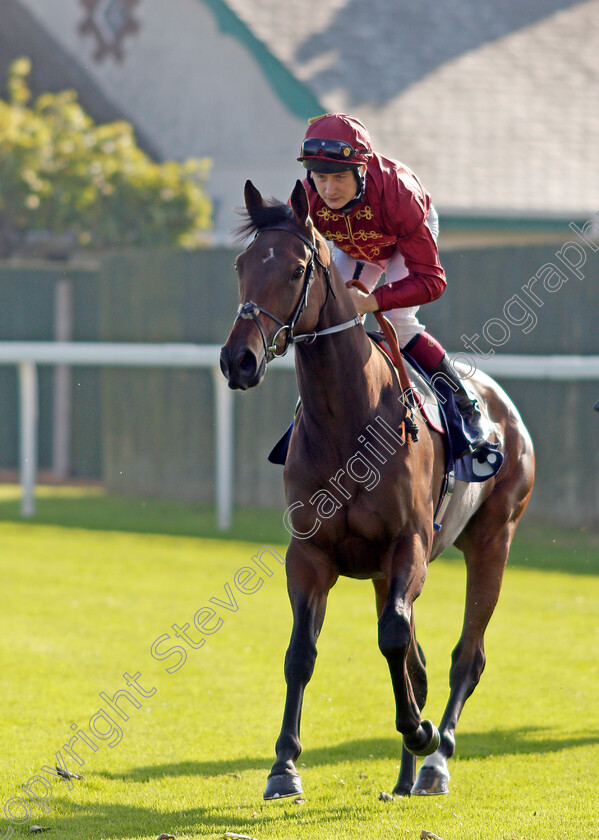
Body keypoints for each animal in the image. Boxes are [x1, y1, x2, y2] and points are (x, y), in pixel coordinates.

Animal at [219, 180, 536, 796]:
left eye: (295, 270)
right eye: (241, 265)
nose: (238, 360)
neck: (348, 421)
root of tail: (504, 407)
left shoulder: (407, 543)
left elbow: (394, 636)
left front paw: (420, 731)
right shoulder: (311, 553)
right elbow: (302, 651)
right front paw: (284, 766)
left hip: (493, 541)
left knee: (467, 656)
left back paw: (435, 760)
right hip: (386, 572)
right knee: (420, 661)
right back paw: (407, 773)